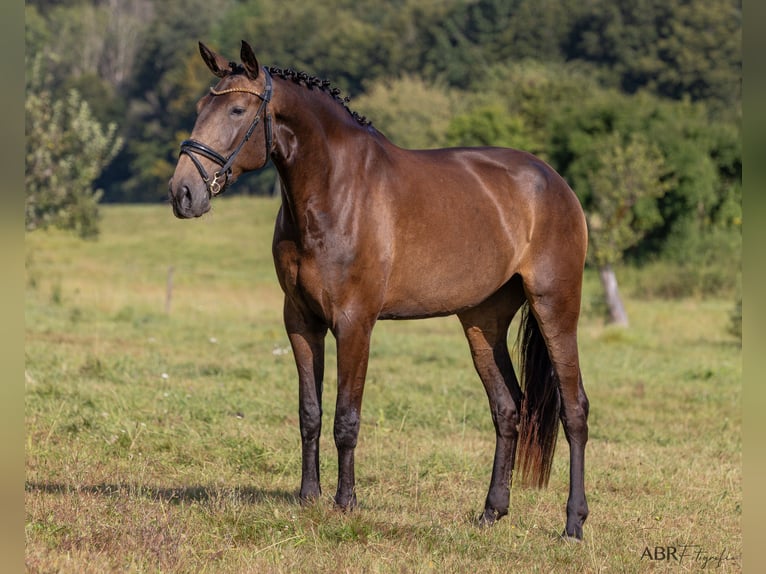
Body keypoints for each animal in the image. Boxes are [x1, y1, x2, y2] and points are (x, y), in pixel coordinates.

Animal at [168, 41, 592, 544]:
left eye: (236, 109)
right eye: (199, 107)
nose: (182, 192)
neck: (334, 190)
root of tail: (556, 183)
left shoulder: (355, 324)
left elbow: (346, 419)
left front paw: (345, 502)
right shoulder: (301, 322)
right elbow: (309, 413)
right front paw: (308, 497)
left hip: (555, 307)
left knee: (574, 410)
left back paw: (573, 524)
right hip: (482, 321)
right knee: (508, 408)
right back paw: (492, 511)